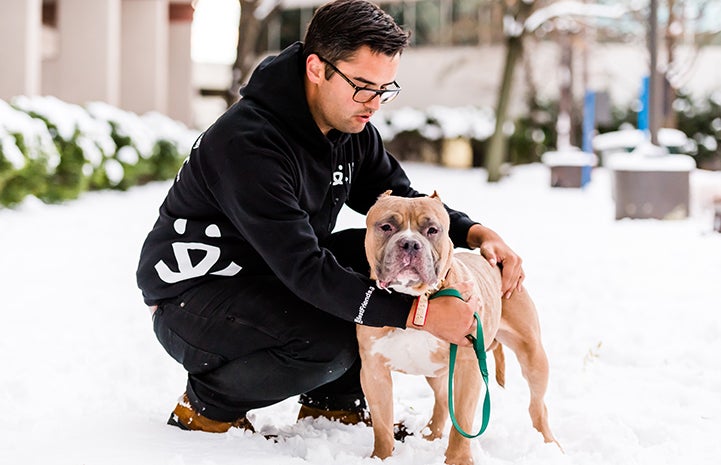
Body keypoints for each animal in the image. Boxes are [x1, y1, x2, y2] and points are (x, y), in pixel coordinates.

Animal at [360, 191, 556, 464]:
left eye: (432, 230)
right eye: (386, 227)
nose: (409, 244)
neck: (417, 302)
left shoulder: (468, 367)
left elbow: (462, 420)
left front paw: (458, 460)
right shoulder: (373, 370)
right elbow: (382, 425)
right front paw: (381, 458)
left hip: (533, 356)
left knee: (538, 407)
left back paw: (550, 446)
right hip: (435, 371)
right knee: (443, 401)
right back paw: (431, 435)